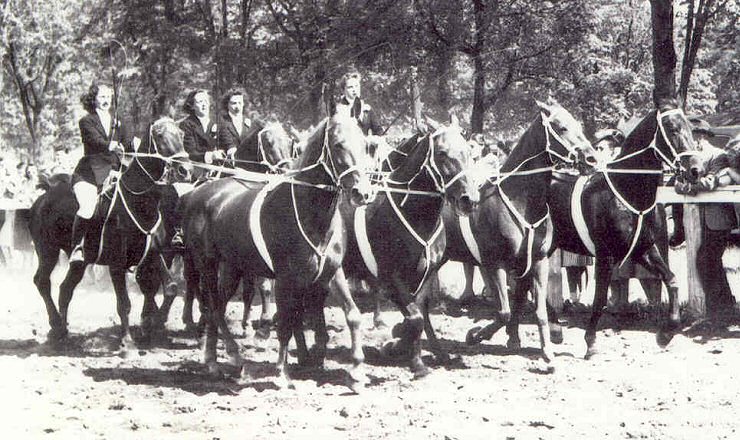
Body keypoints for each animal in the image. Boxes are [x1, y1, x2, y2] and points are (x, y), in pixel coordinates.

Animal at [29, 117, 192, 348]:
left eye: (181, 133)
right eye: (160, 135)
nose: (185, 170)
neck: (139, 201)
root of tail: (45, 195)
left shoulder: (154, 253)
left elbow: (170, 288)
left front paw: (154, 325)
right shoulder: (117, 264)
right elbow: (124, 303)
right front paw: (127, 342)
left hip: (81, 262)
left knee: (65, 289)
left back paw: (61, 331)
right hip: (47, 251)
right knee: (42, 281)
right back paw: (56, 326)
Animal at [180, 112, 376, 388]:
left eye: (365, 145)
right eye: (338, 145)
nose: (363, 193)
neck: (309, 213)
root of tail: (197, 193)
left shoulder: (331, 273)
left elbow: (352, 314)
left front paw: (357, 370)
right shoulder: (285, 278)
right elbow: (285, 322)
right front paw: (282, 373)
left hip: (232, 268)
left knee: (218, 305)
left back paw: (215, 359)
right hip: (206, 263)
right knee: (213, 306)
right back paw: (229, 356)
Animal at [332, 117, 482, 378]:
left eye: (468, 151)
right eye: (442, 153)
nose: (469, 199)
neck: (412, 212)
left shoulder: (425, 275)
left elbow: (419, 315)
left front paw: (418, 357)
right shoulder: (391, 278)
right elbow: (415, 319)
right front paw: (398, 347)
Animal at [442, 98, 600, 362]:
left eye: (578, 125)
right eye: (562, 127)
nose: (592, 159)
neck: (520, 204)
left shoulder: (536, 261)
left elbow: (535, 309)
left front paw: (546, 352)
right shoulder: (495, 263)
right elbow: (504, 311)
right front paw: (476, 335)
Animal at [548, 98, 704, 360]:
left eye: (691, 130)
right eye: (672, 128)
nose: (696, 170)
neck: (625, 191)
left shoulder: (643, 248)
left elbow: (671, 280)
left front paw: (666, 333)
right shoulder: (606, 255)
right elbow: (600, 297)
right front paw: (591, 342)